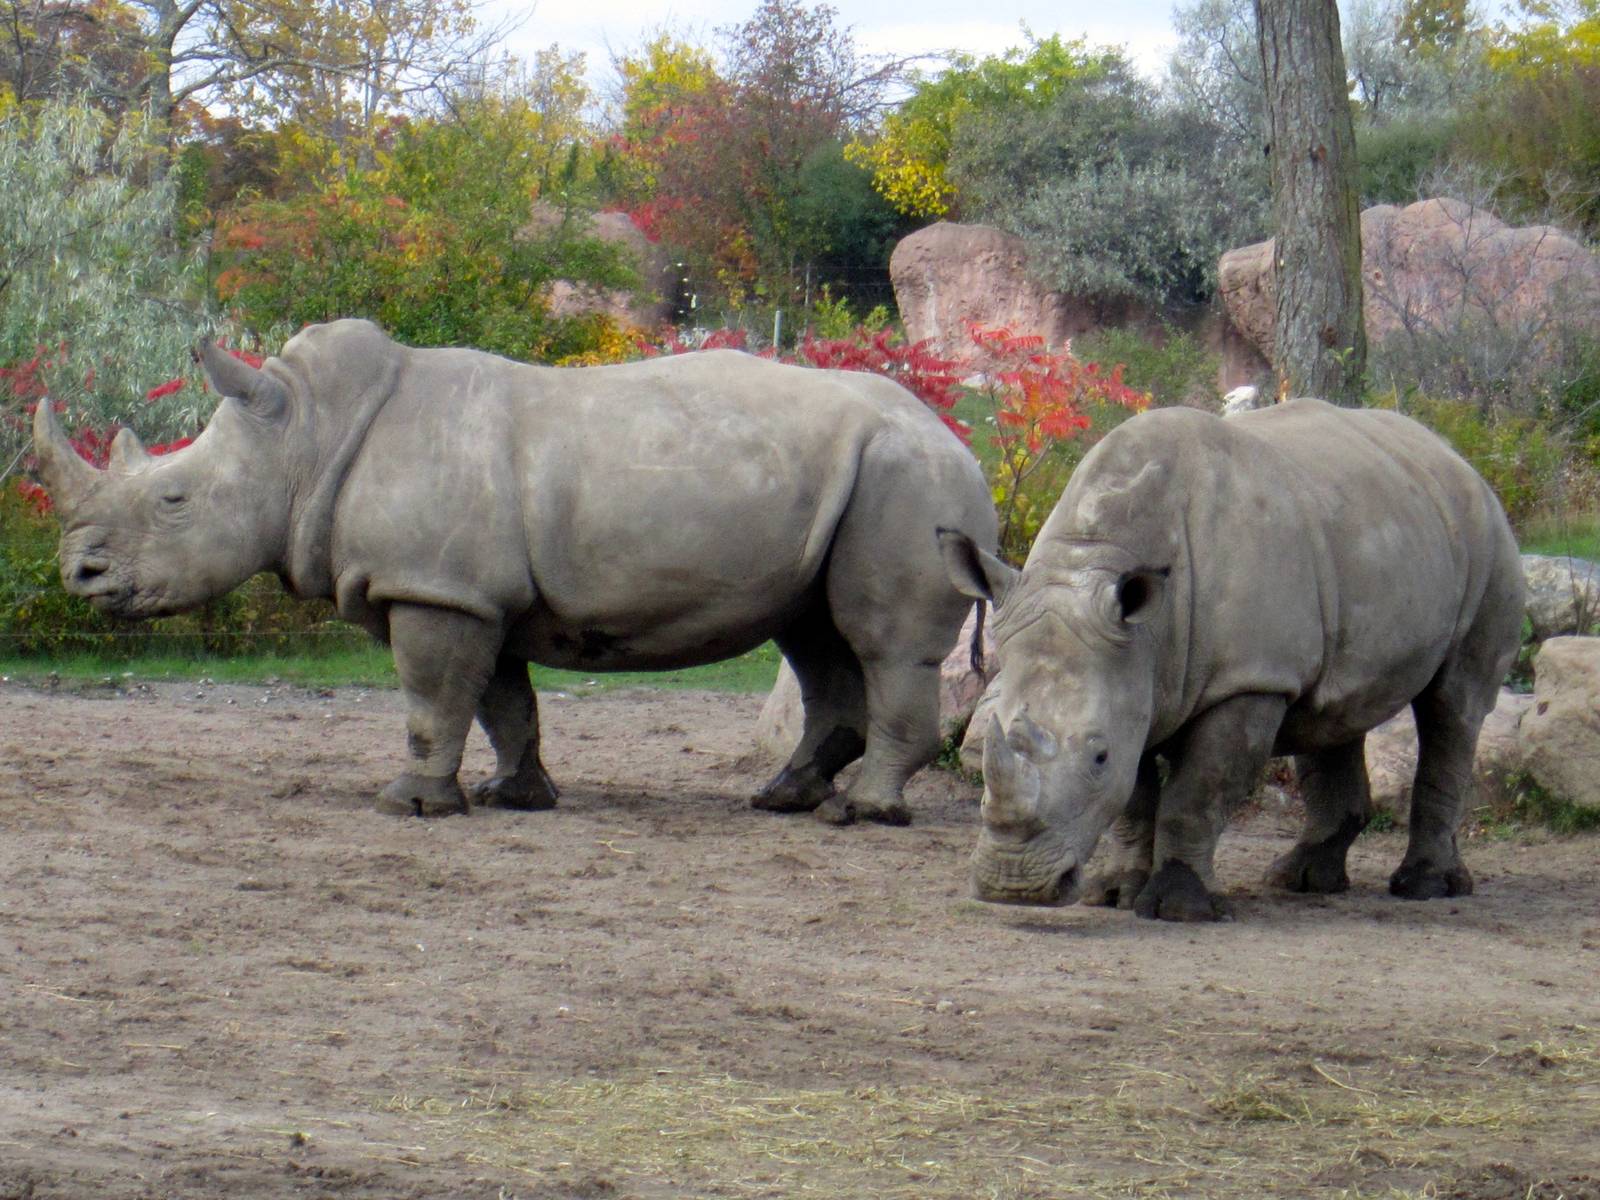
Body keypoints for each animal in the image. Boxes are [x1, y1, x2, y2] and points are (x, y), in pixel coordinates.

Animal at [32, 319, 997, 823]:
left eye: (175, 501)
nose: (77, 576)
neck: (303, 436)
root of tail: (959, 438)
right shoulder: (469, 592)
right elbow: (501, 701)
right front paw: (514, 795)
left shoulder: (434, 588)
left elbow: (432, 698)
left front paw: (409, 804)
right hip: (857, 484)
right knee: (817, 636)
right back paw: (782, 797)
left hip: (908, 481)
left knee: (881, 642)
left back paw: (861, 814)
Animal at [939, 398, 1524, 921]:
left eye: (1098, 756)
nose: (1014, 885)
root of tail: (1454, 457)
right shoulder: (1134, 676)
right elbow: (1135, 800)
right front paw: (1115, 893)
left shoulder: (1248, 679)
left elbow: (1197, 793)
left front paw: (1180, 907)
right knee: (1333, 710)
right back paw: (1301, 880)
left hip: (1487, 539)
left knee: (1454, 705)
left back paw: (1425, 887)